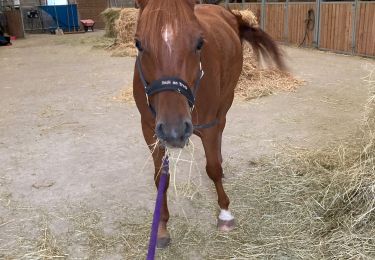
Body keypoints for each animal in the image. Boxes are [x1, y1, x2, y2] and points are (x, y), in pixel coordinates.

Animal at [134, 0, 284, 248]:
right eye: (138, 44)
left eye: (199, 43)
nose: (174, 130)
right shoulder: (150, 132)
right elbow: (160, 178)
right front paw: (161, 226)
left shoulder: (209, 127)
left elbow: (213, 167)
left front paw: (225, 213)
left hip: (226, 101)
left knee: (221, 131)